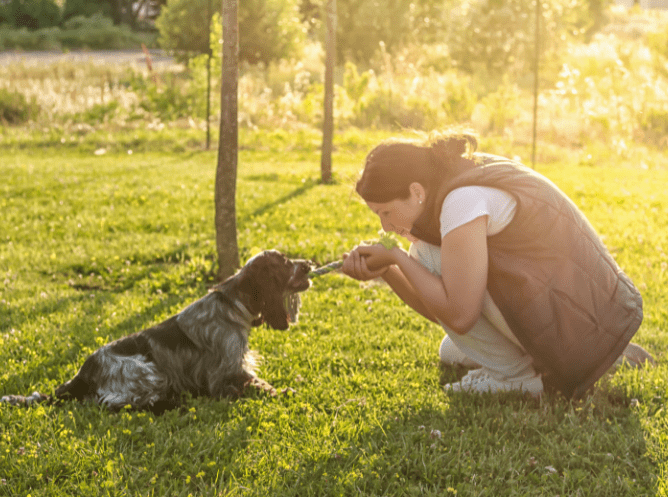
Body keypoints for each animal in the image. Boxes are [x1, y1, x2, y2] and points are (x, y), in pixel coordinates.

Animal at [0, 250, 314, 412]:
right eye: (286, 263)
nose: (309, 264)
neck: (233, 305)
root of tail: (80, 375)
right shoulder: (225, 374)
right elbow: (260, 386)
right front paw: (286, 392)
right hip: (147, 370)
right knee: (121, 404)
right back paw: (174, 402)